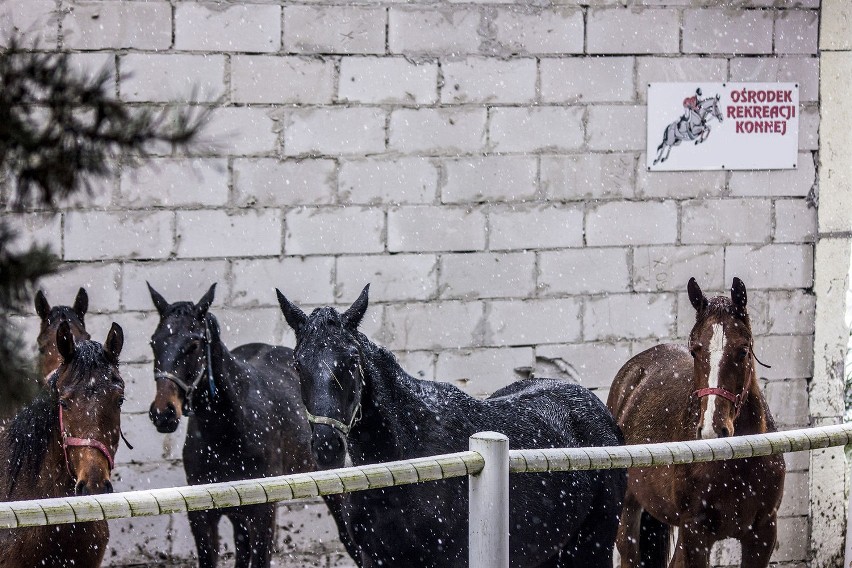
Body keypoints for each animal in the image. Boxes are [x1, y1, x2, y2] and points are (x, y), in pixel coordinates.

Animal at [604, 278, 784, 568]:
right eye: (694, 350)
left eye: (743, 351)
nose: (713, 430)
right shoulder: (695, 533)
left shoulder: (762, 533)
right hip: (629, 513)